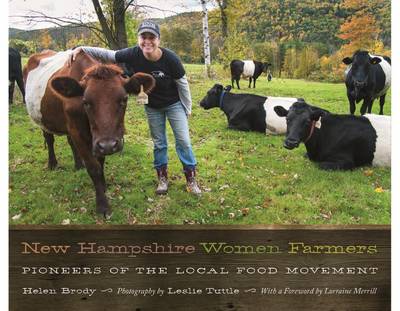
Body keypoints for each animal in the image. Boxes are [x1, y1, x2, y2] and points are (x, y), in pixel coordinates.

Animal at [22, 50, 155, 217]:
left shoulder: (97, 139)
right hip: (43, 119)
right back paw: (52, 163)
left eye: (124, 99)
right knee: (49, 138)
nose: (109, 145)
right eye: (85, 102)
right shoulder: (80, 133)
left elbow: (101, 162)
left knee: (69, 142)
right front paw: (102, 205)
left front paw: (103, 186)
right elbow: (94, 167)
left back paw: (78, 165)